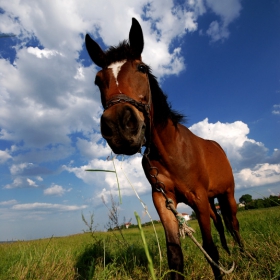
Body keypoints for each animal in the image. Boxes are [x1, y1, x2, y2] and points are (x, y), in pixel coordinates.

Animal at [85, 18, 243, 280]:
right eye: (98, 80)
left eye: (141, 68)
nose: (119, 125)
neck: (171, 151)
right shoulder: (163, 199)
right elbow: (175, 254)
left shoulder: (198, 198)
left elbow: (210, 250)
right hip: (212, 200)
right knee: (221, 223)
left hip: (226, 194)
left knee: (233, 223)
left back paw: (244, 254)